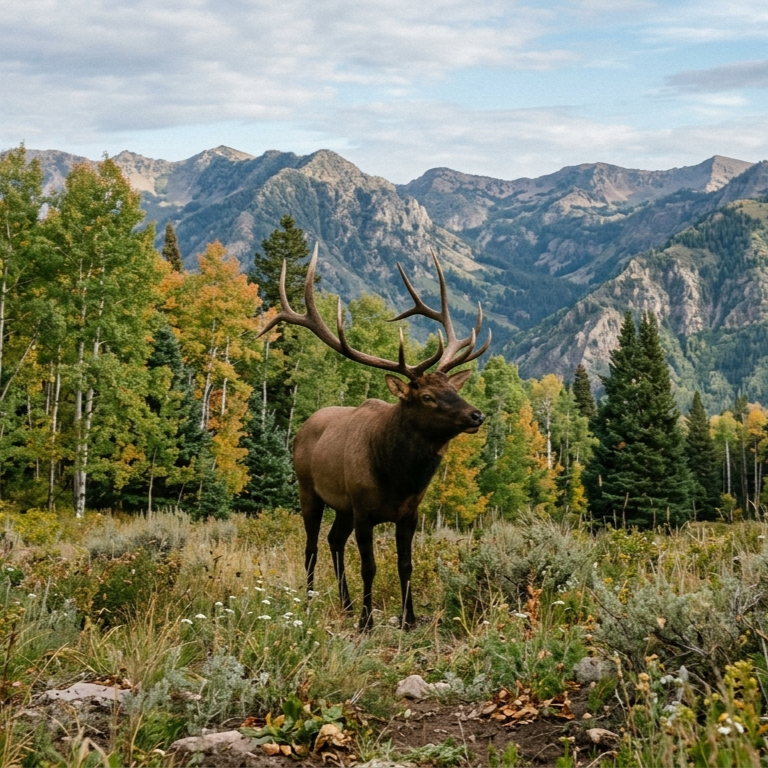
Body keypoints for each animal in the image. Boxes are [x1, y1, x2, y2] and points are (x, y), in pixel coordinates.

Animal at [258, 245, 490, 629]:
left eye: (453, 389)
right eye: (428, 397)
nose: (477, 415)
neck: (397, 478)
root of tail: (305, 425)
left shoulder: (409, 513)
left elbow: (405, 565)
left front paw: (409, 618)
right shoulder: (365, 510)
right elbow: (369, 566)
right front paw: (368, 621)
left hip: (342, 505)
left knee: (334, 540)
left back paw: (347, 603)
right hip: (309, 490)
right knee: (311, 546)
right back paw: (311, 601)